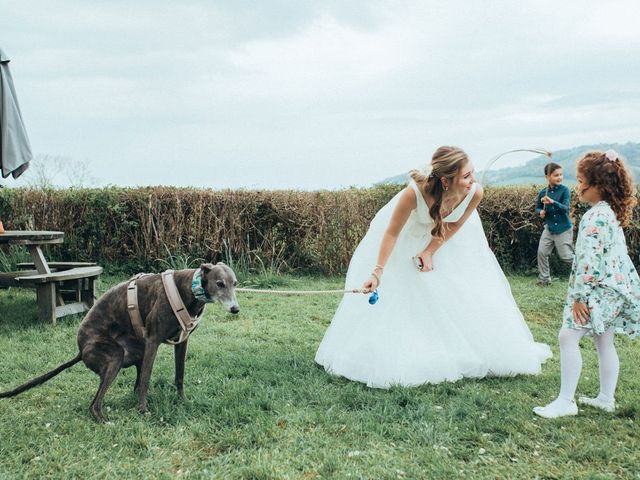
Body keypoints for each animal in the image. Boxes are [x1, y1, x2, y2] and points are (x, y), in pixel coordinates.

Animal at [0, 260, 240, 422]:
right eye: (220, 283)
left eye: (235, 283)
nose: (235, 309)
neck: (189, 288)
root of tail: (80, 349)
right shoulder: (153, 340)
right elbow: (146, 380)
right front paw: (143, 410)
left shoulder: (182, 342)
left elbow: (179, 375)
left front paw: (183, 401)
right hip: (114, 356)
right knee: (96, 404)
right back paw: (104, 420)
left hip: (136, 351)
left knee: (130, 385)